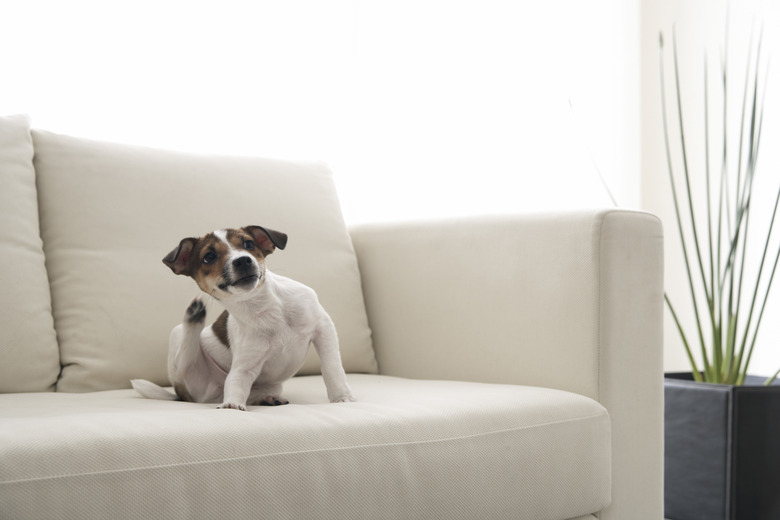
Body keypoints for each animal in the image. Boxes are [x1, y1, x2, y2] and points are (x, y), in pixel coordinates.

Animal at [132, 224, 356, 410]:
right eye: (209, 257)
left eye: (249, 244)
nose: (243, 260)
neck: (264, 308)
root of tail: (182, 396)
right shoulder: (246, 365)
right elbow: (237, 381)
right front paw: (232, 405)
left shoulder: (323, 329)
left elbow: (332, 368)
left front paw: (341, 396)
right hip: (181, 346)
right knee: (185, 361)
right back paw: (194, 315)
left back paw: (268, 398)